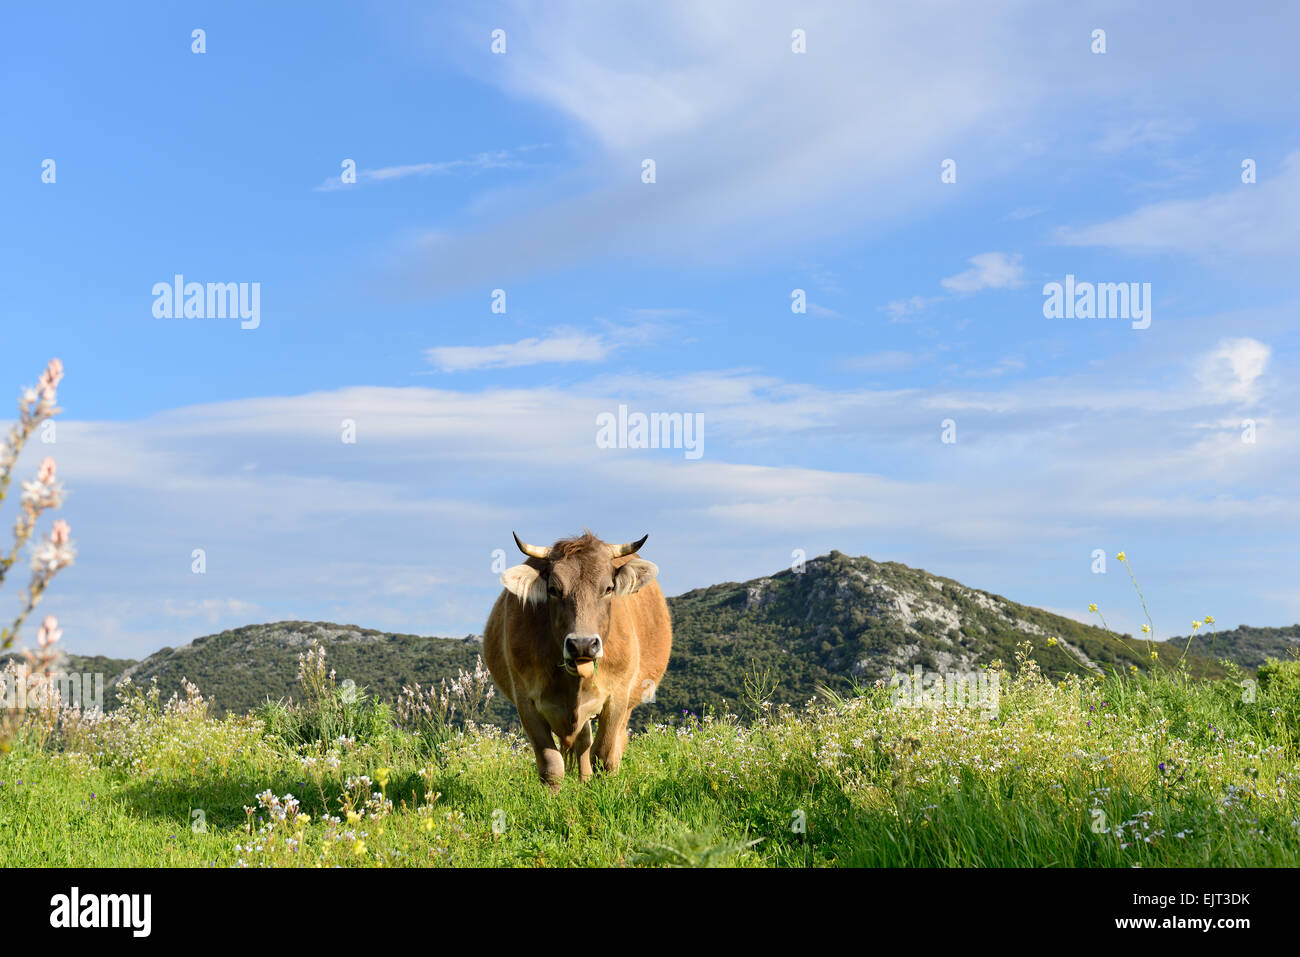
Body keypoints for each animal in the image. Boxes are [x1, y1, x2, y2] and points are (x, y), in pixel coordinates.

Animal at [483, 530, 671, 788]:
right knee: (583, 741)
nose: (582, 644)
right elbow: (551, 764)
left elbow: (604, 756)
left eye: (609, 588)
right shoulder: (525, 701)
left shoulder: (617, 697)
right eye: (553, 589)